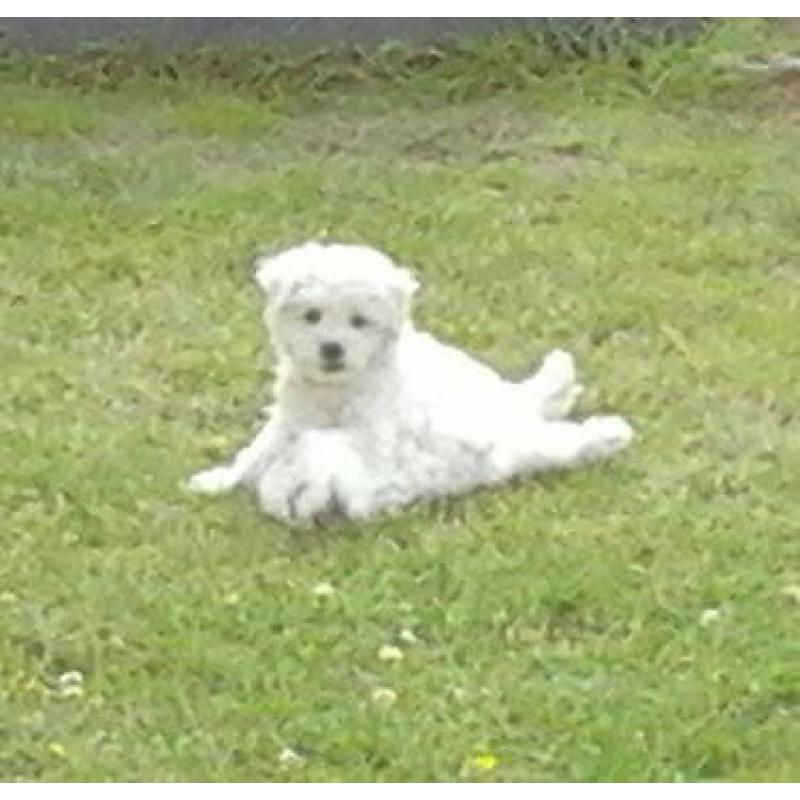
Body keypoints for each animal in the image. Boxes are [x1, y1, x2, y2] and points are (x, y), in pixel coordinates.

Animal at [188, 241, 632, 520]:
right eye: (311, 315)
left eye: (359, 321)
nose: (332, 349)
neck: (336, 389)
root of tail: (510, 402)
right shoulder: (289, 417)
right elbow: (257, 450)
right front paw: (217, 480)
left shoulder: (375, 438)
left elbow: (327, 445)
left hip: (523, 443)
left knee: (566, 442)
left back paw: (610, 433)